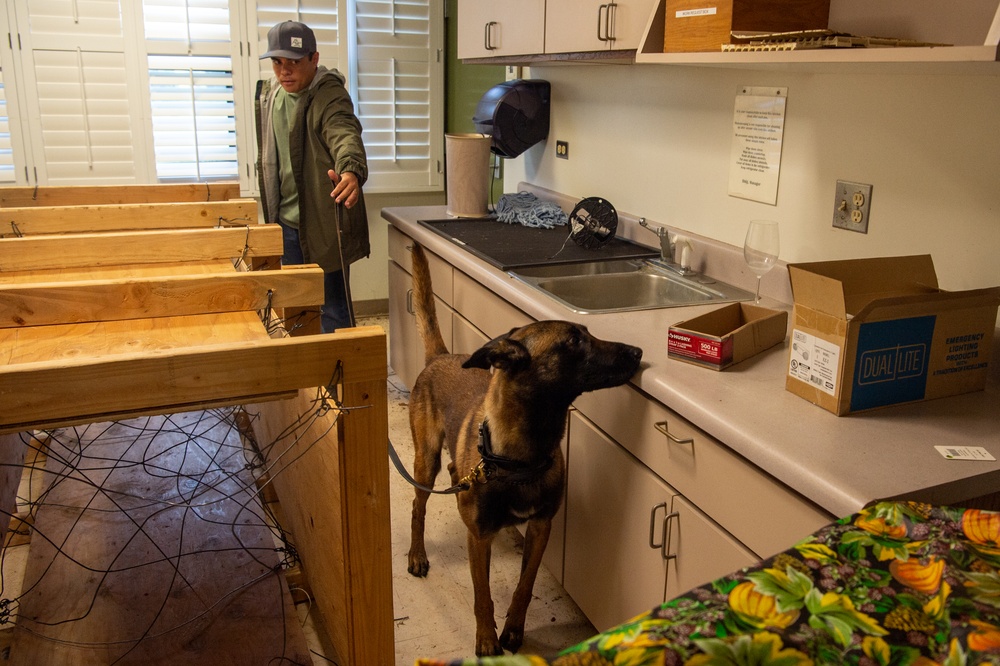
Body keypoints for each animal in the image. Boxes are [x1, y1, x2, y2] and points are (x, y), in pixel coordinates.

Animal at [404, 244, 640, 652]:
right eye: (574, 341)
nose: (638, 351)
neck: (521, 454)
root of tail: (440, 357)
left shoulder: (542, 526)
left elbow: (525, 584)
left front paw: (514, 628)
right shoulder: (479, 538)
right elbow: (483, 596)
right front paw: (487, 641)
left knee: (452, 475)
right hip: (426, 459)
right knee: (419, 506)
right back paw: (417, 554)